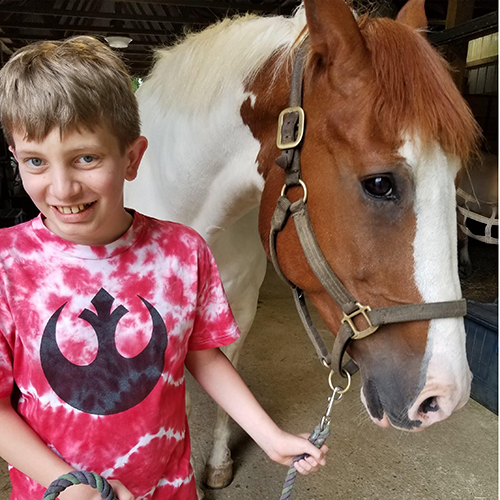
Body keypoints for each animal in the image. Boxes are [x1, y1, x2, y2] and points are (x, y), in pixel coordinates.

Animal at [123, 0, 478, 488]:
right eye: (380, 183)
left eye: (457, 176)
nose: (445, 397)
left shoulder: (238, 309)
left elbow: (227, 382)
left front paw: (217, 463)